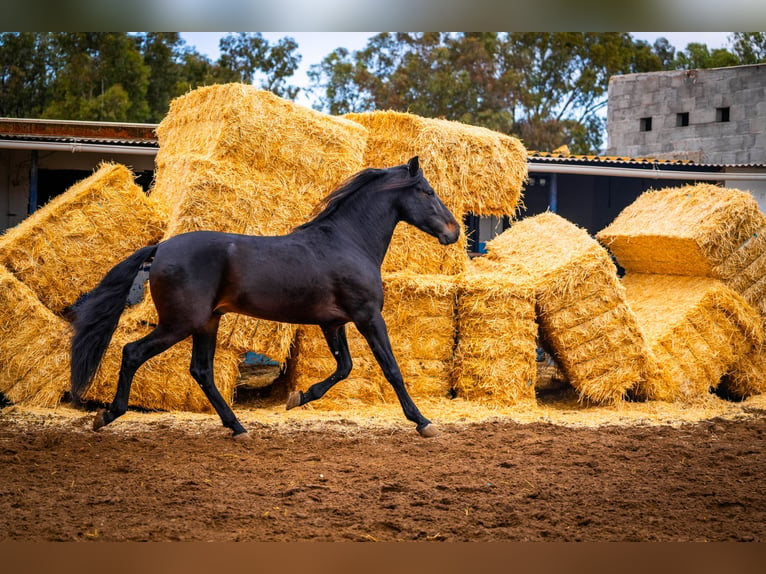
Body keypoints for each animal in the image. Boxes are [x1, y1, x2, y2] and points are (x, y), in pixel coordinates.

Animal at [69, 158, 460, 440]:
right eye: (427, 191)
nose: (453, 231)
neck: (347, 242)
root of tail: (161, 248)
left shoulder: (333, 323)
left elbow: (344, 367)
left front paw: (297, 398)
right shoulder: (367, 317)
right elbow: (392, 369)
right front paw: (423, 422)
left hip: (207, 323)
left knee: (202, 371)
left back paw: (238, 428)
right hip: (179, 323)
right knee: (133, 353)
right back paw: (107, 415)